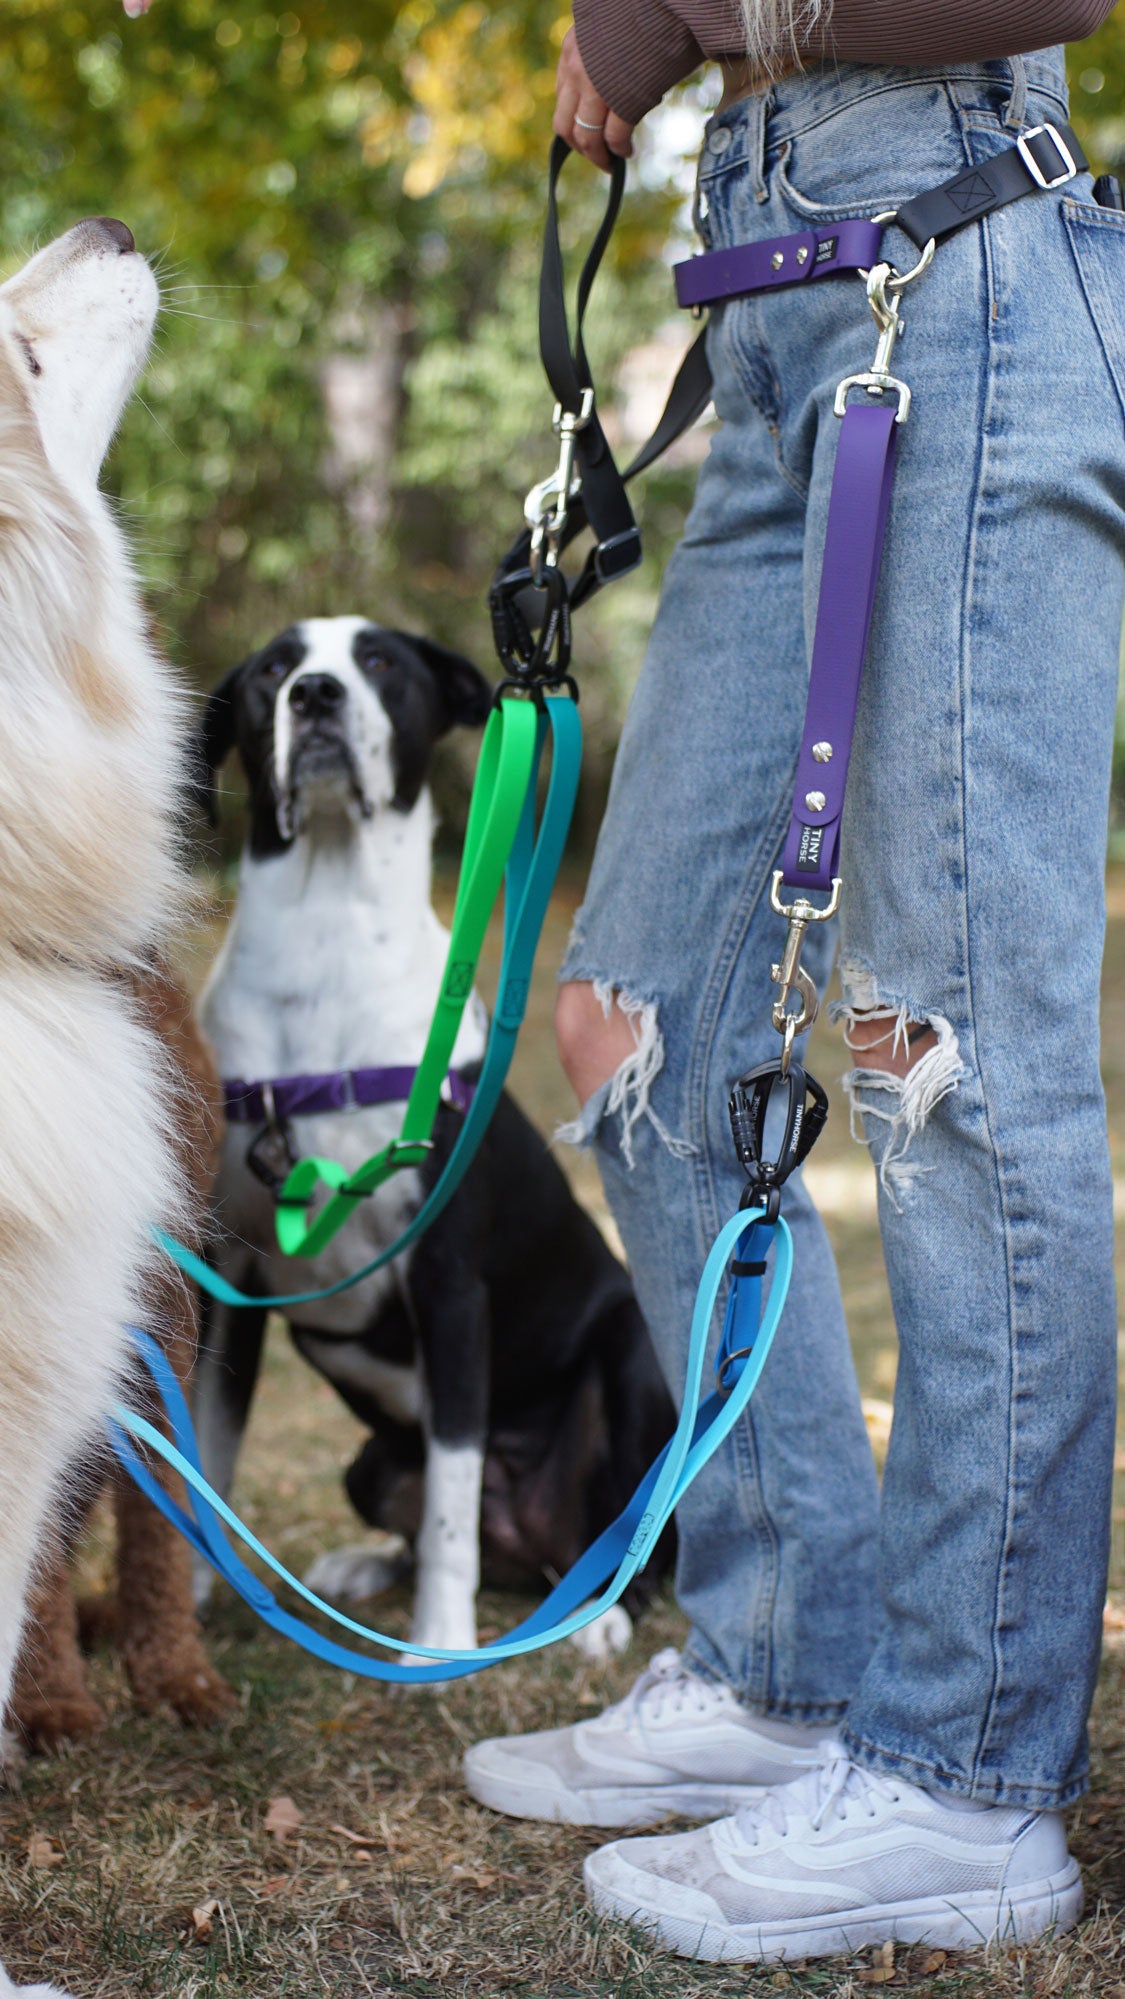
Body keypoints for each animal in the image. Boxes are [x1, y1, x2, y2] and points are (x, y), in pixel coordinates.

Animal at [191, 619, 679, 1655]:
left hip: (632, 1361)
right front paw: (196, 1597)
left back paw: (595, 1613)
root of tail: (530, 1536)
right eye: (272, 668)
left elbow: (454, 1496)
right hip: (370, 1460)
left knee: (627, 1536)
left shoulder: (451, 1287)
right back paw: (370, 1564)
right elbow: (208, 1453)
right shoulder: (230, 1281)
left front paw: (443, 1641)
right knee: (427, 1519)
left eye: (379, 661)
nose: (316, 695)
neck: (324, 934)